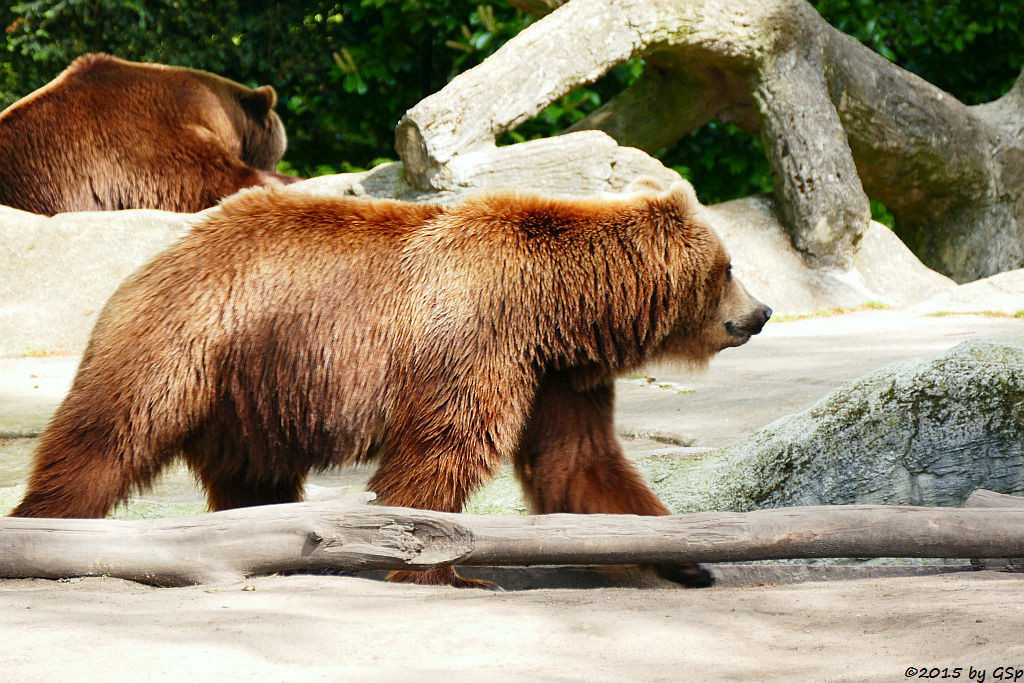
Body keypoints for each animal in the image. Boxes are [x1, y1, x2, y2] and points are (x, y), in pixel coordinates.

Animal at [12, 180, 770, 589]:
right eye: (731, 265)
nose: (761, 312)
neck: (557, 308)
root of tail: (157, 258)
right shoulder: (478, 338)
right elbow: (441, 450)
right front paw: (444, 567)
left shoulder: (556, 376)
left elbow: (579, 463)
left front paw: (687, 560)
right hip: (188, 343)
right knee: (105, 435)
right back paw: (41, 529)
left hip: (253, 391)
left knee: (252, 477)